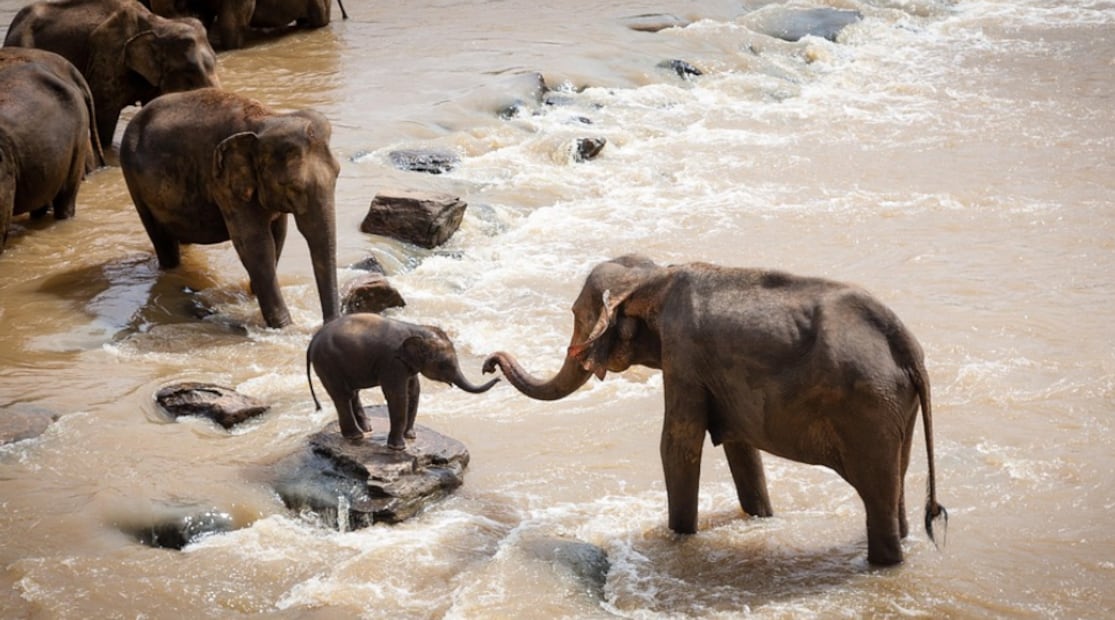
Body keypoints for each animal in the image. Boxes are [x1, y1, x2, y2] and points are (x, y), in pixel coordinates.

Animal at [119, 88, 340, 329]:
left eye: (338, 173)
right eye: (293, 186)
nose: (326, 325)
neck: (267, 119)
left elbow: (278, 235)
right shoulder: (223, 183)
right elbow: (255, 244)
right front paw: (284, 327)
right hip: (133, 181)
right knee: (162, 241)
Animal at [306, 313, 499, 449]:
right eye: (443, 365)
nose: (493, 372)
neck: (416, 329)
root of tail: (312, 342)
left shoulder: (407, 364)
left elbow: (413, 391)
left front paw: (411, 436)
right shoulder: (392, 362)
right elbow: (397, 396)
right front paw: (398, 447)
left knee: (352, 392)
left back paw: (366, 429)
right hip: (327, 364)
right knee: (342, 395)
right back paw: (355, 436)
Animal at [483, 255, 947, 566]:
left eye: (577, 315)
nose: (489, 364)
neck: (654, 277)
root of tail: (907, 346)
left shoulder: (684, 357)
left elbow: (677, 445)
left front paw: (678, 538)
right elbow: (742, 449)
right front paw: (760, 517)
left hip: (869, 408)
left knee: (877, 493)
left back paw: (883, 563)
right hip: (894, 409)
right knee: (895, 484)